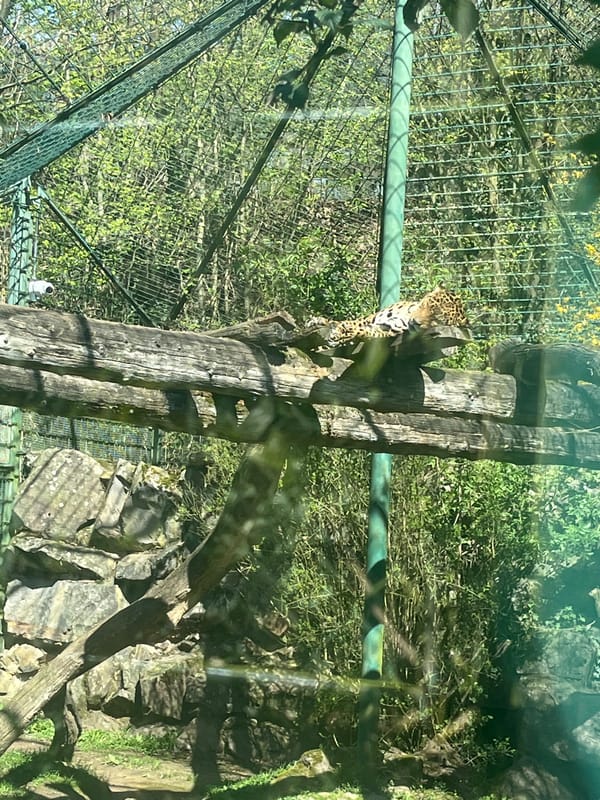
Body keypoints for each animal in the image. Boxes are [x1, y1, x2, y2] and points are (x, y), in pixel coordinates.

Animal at [310, 285, 469, 347]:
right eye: (426, 304)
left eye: (436, 320)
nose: (416, 322)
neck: (406, 315)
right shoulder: (370, 318)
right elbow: (351, 321)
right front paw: (319, 321)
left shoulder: (386, 332)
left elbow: (364, 330)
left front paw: (345, 332)